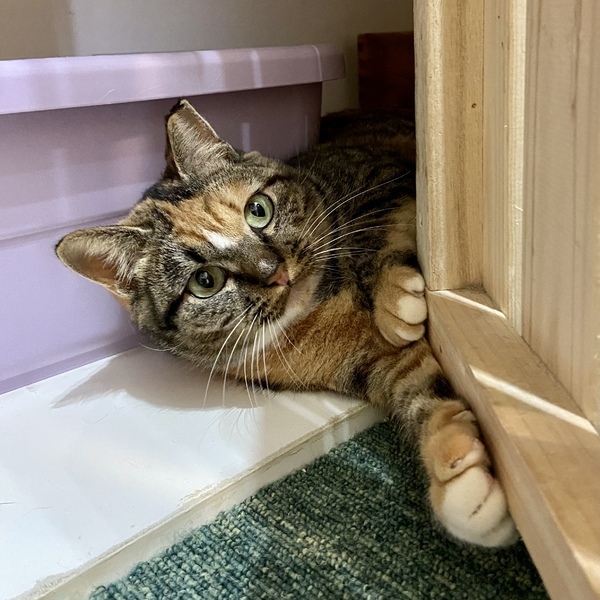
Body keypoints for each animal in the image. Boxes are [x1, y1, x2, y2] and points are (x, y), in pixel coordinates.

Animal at [56, 100, 517, 547]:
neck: (322, 303)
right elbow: (421, 392)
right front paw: (464, 482)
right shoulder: (372, 362)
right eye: (204, 281)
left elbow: (373, 227)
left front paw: (395, 301)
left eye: (257, 210)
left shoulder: (383, 173)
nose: (274, 271)